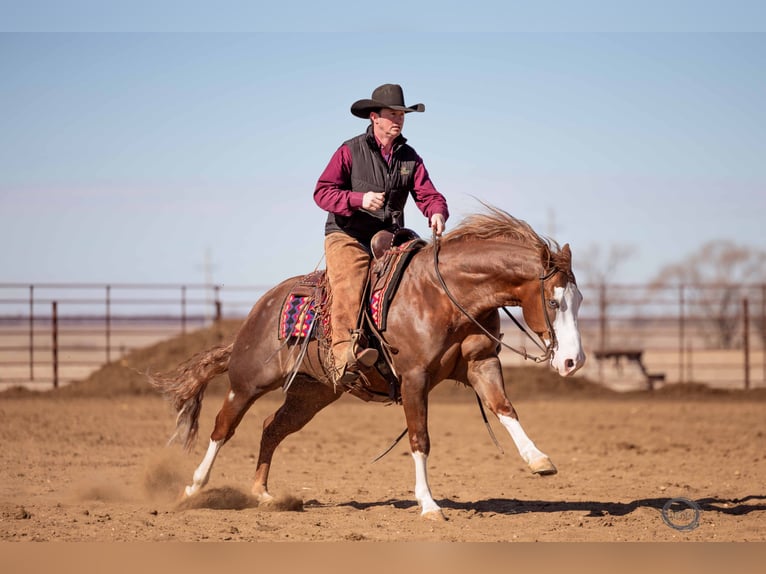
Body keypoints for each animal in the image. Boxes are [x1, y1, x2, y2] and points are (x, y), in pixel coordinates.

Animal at [151, 205, 586, 520]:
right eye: (553, 301)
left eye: (579, 299)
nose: (572, 361)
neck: (444, 295)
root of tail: (261, 308)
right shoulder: (414, 378)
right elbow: (419, 438)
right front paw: (429, 505)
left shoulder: (482, 364)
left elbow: (504, 408)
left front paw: (539, 460)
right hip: (247, 382)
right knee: (223, 428)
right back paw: (193, 488)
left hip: (312, 394)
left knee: (271, 428)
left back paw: (264, 494)